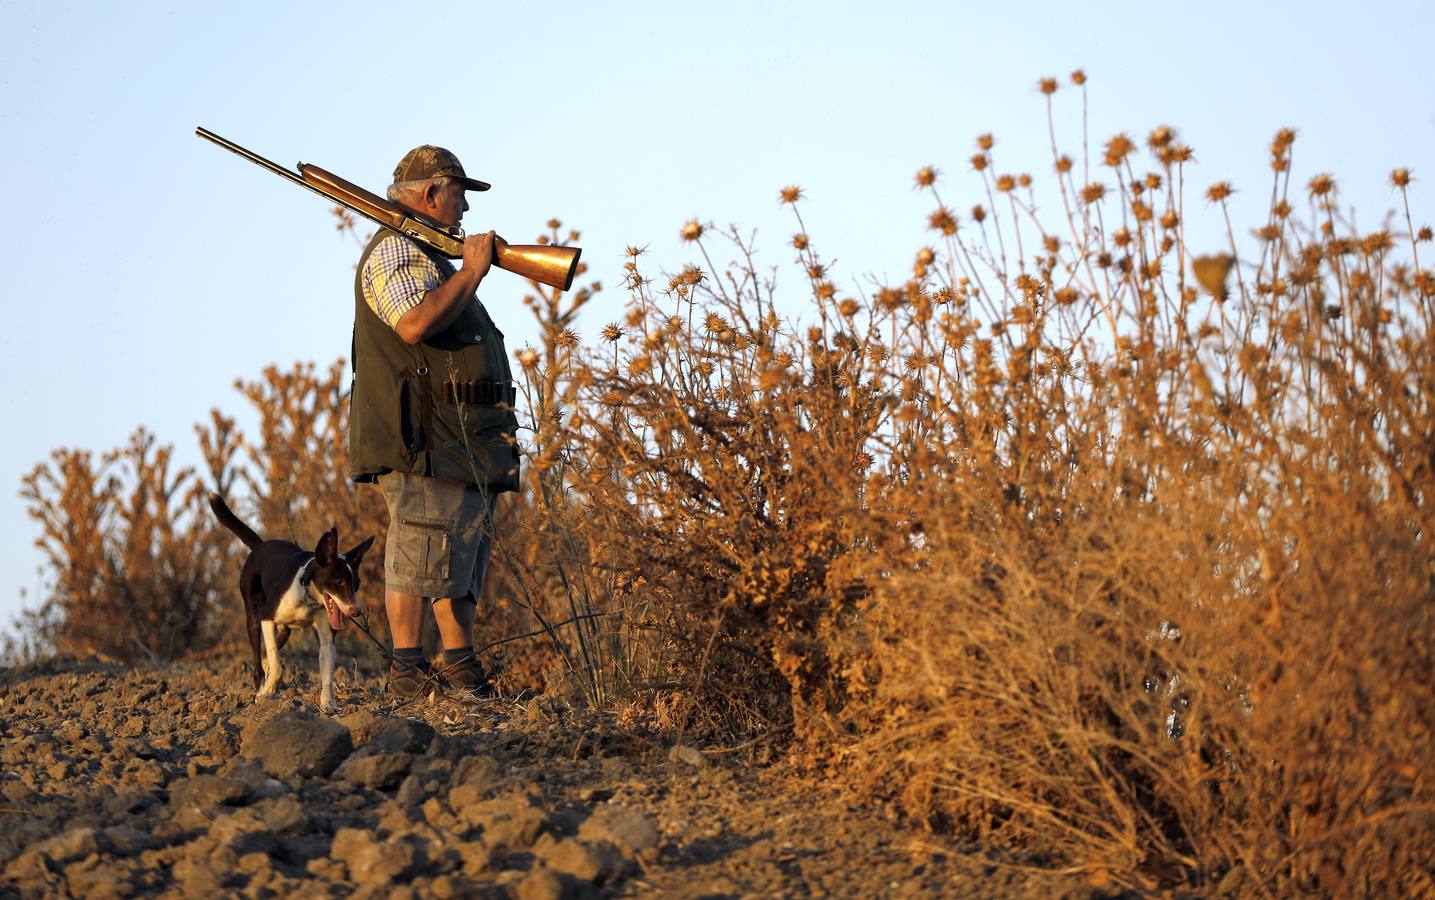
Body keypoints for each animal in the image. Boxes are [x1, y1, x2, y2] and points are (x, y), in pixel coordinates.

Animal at [209, 493, 375, 711]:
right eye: (339, 581)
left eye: (357, 583)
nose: (356, 611)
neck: (308, 596)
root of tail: (260, 545)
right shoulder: (267, 618)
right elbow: (277, 666)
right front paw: (268, 691)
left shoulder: (326, 636)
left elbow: (327, 674)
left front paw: (328, 705)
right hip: (254, 618)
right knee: (258, 657)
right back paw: (261, 687)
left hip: (284, 630)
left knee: (268, 656)